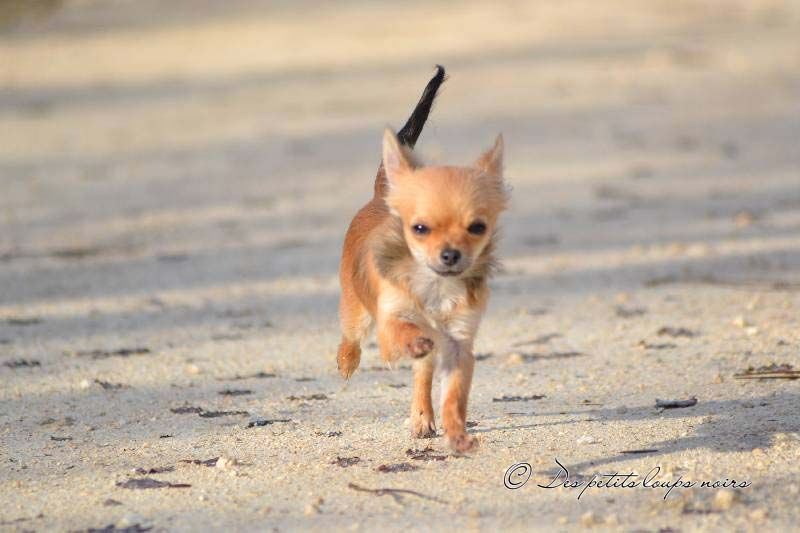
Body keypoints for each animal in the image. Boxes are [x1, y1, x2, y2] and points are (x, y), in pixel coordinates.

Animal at [336, 64, 506, 450]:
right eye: (420, 228)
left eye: (477, 227)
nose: (451, 254)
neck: (435, 287)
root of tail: (382, 195)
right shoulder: (389, 327)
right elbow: (404, 333)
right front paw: (415, 338)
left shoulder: (459, 344)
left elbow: (454, 395)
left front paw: (457, 433)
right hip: (356, 308)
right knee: (352, 335)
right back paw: (347, 360)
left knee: (423, 376)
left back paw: (422, 418)